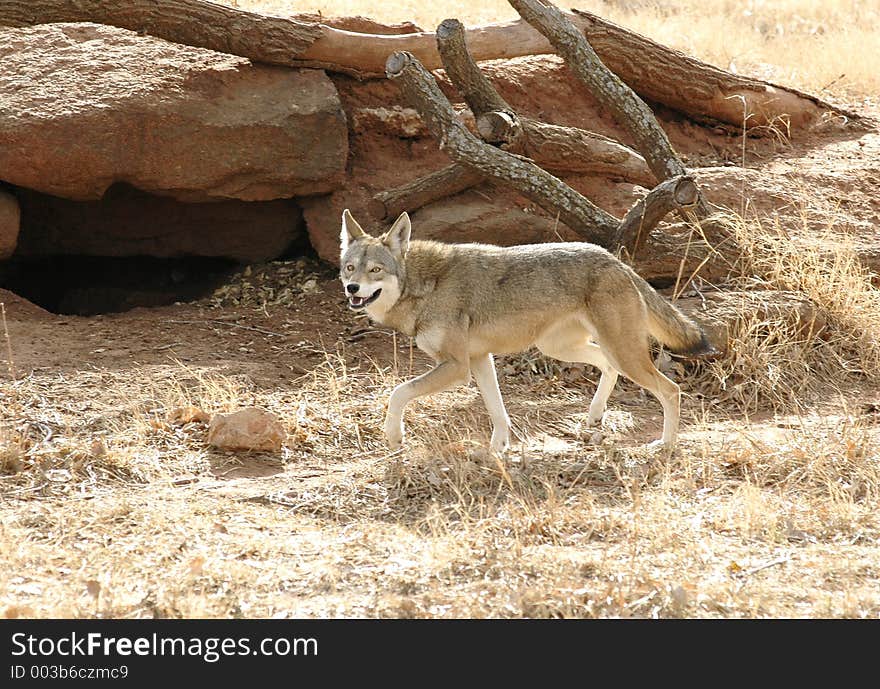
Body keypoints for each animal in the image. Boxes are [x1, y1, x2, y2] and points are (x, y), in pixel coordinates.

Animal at [336, 207, 716, 452]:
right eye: (350, 268)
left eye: (375, 270)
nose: (352, 289)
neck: (425, 286)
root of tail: (617, 261)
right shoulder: (480, 360)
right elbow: (498, 411)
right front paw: (498, 450)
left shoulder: (458, 367)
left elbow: (398, 393)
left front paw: (394, 437)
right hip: (567, 349)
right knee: (608, 367)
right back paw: (594, 418)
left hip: (623, 355)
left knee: (670, 390)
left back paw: (665, 445)